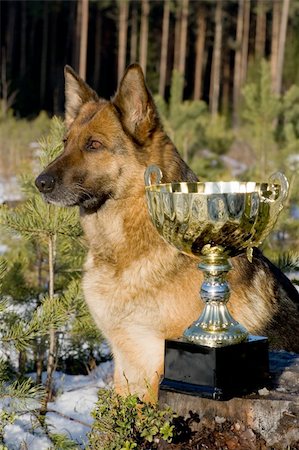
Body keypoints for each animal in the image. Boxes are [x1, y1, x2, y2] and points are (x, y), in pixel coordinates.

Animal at [36, 63, 299, 400]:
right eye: (65, 142)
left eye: (94, 145)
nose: (40, 183)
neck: (130, 246)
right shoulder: (126, 366)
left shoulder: (156, 364)